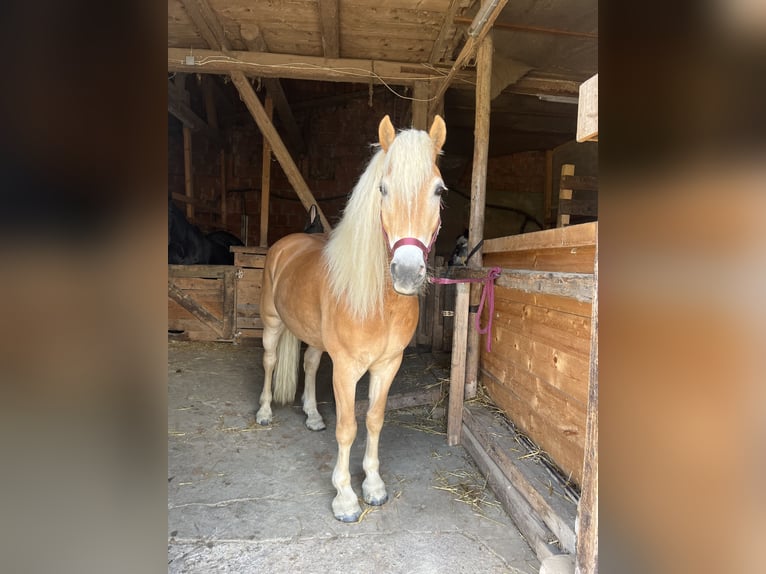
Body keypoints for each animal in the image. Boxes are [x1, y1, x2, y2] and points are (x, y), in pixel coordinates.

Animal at [257, 115, 447, 522]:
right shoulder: (345, 368)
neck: (380, 303)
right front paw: (344, 497)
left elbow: (374, 419)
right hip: (272, 324)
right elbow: (347, 428)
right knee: (270, 361)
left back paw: (313, 416)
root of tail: (289, 243)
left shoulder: (388, 365)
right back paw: (263, 412)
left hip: (313, 338)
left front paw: (373, 486)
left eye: (439, 191)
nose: (407, 273)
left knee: (310, 365)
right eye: (383, 189)